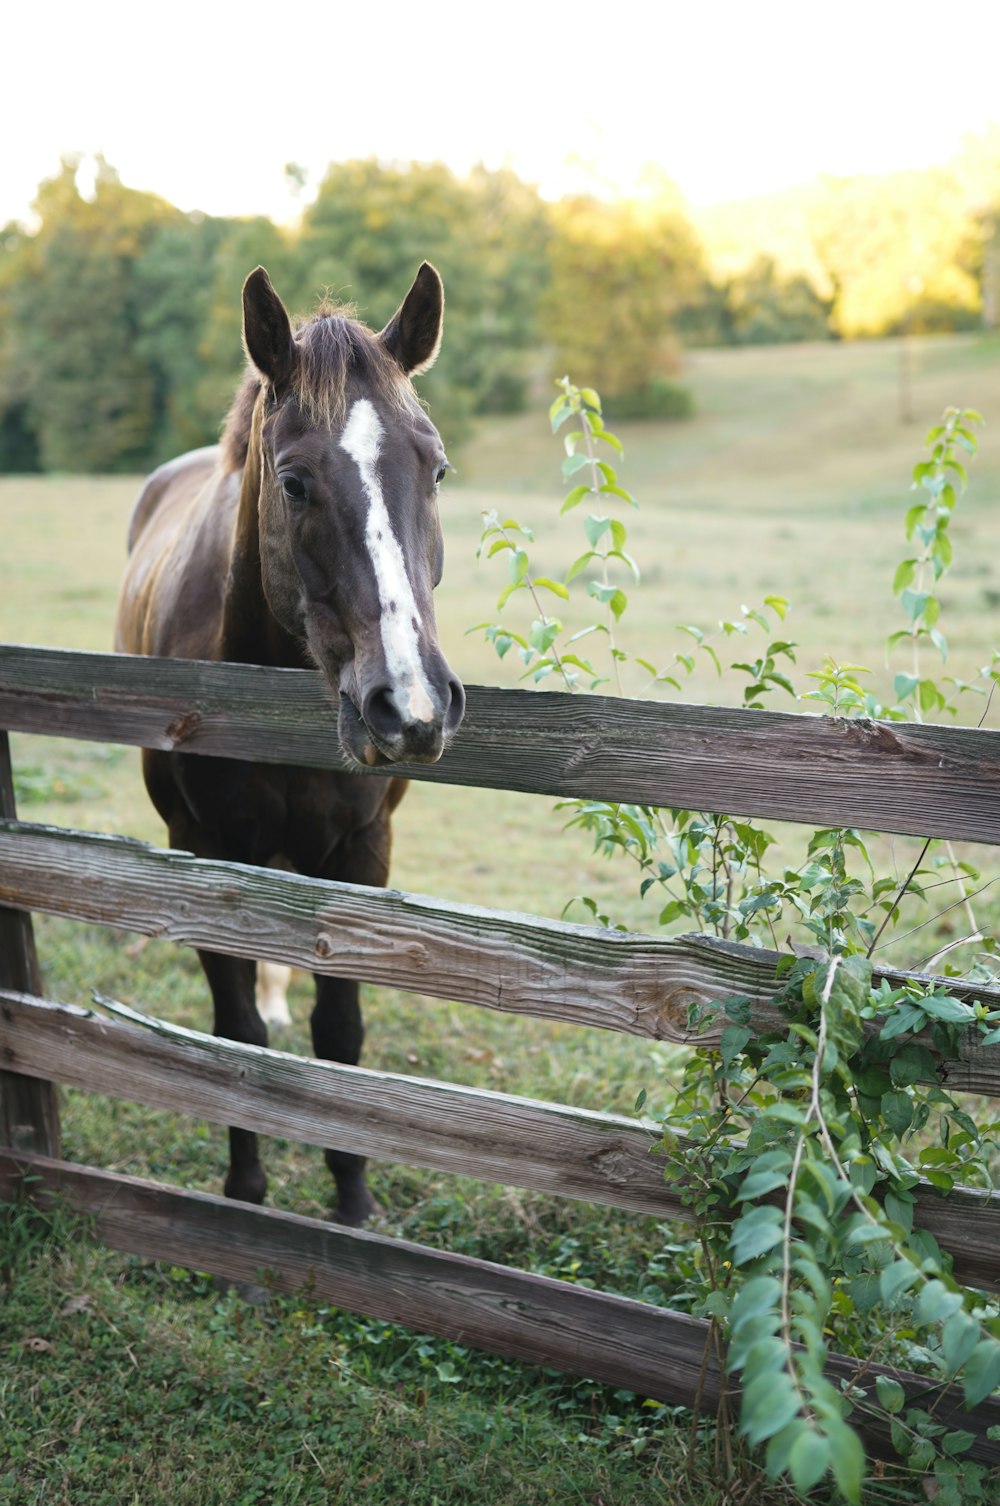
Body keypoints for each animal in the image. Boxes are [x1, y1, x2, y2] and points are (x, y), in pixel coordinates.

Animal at [115, 262, 466, 1222]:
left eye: (436, 467)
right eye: (296, 481)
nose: (408, 706)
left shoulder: (361, 851)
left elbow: (339, 1033)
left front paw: (351, 1200)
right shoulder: (201, 849)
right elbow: (232, 1035)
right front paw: (246, 1188)